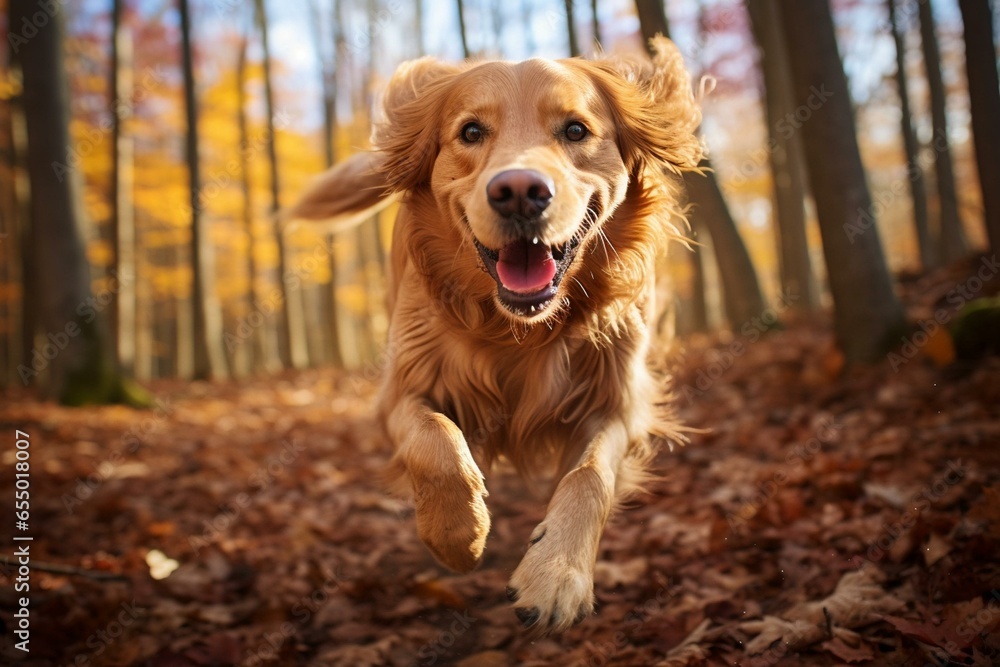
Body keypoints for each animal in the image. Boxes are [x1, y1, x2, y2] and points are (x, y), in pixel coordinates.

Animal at [288, 37, 696, 636]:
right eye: (471, 132)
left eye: (576, 130)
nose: (519, 191)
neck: (516, 331)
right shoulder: (402, 388)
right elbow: (436, 442)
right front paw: (457, 535)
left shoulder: (617, 400)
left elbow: (590, 476)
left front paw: (557, 574)